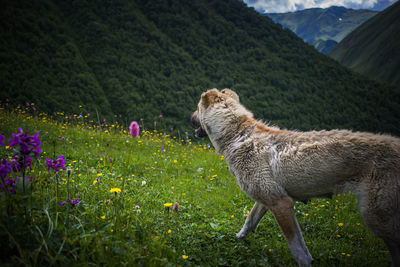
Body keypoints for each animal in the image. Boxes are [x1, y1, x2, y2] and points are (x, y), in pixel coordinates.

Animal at [191, 89, 400, 266]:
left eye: (197, 107)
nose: (189, 117)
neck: (237, 134)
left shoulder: (281, 203)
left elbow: (298, 250)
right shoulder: (268, 198)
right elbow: (250, 220)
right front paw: (237, 238)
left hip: (376, 216)